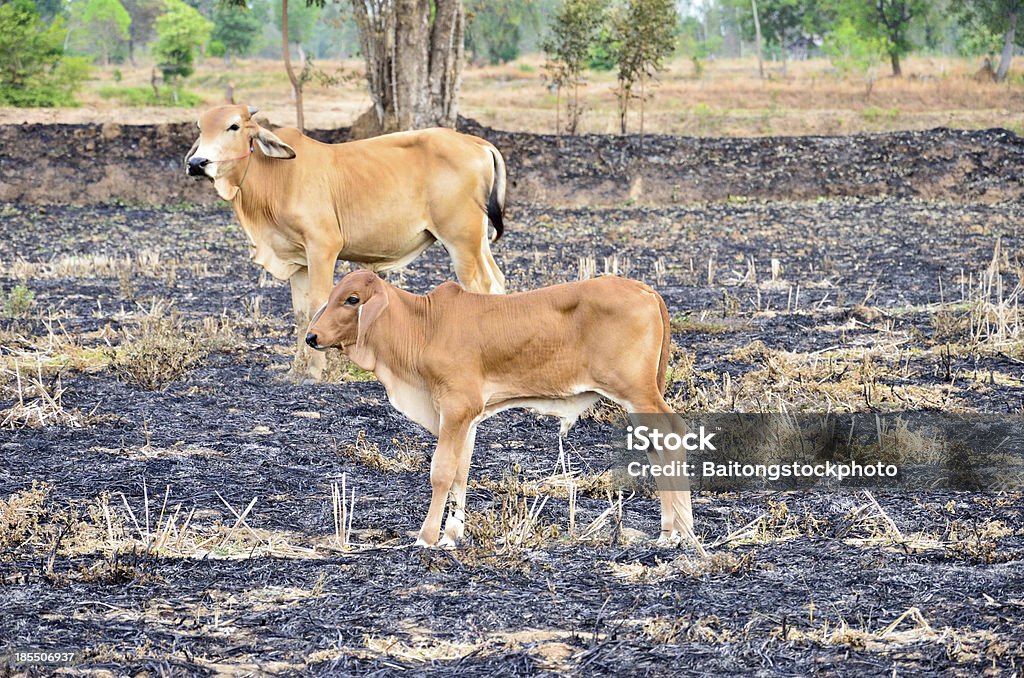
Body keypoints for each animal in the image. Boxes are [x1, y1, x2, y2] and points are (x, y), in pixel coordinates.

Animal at [187, 107, 507, 383]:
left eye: (233, 126)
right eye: (200, 127)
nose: (196, 163)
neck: (276, 175)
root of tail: (475, 142)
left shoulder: (323, 247)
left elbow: (316, 306)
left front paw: (314, 372)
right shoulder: (298, 261)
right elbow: (300, 314)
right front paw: (295, 370)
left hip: (461, 240)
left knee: (480, 287)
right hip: (478, 242)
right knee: (497, 281)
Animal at [303, 270, 696, 548]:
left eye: (352, 299)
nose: (312, 337)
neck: (423, 326)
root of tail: (645, 290)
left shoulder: (456, 407)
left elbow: (442, 471)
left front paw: (427, 537)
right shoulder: (467, 416)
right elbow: (461, 472)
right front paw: (452, 535)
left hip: (638, 393)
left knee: (672, 436)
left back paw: (680, 530)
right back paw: (670, 530)